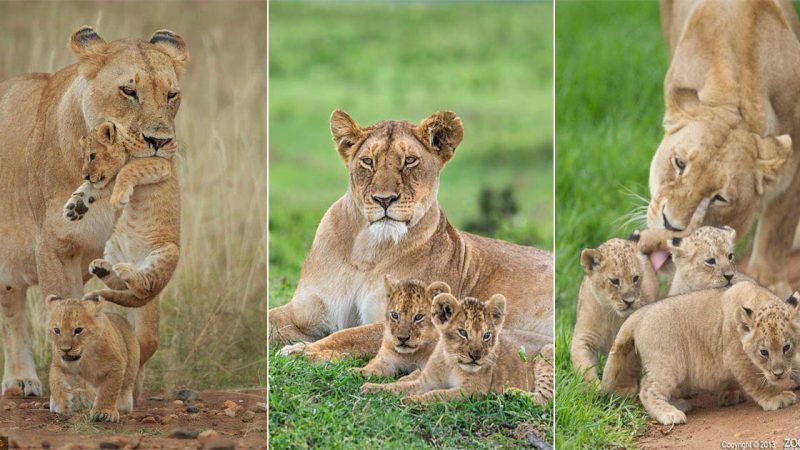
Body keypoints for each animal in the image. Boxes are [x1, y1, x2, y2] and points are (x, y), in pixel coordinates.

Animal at [0, 26, 188, 396]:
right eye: (129, 90)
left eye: (172, 94)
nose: (160, 141)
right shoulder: (55, 251)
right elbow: (67, 313)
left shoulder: (144, 249)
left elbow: (147, 335)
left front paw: (131, 380)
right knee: (12, 316)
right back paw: (21, 378)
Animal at [268, 110, 552, 362]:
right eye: (368, 161)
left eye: (410, 161)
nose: (384, 199)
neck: (367, 250)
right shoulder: (307, 310)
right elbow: (270, 318)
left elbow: (348, 336)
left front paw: (302, 352)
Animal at [648, 0, 800, 298]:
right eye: (679, 163)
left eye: (719, 198)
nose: (671, 226)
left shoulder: (795, 163)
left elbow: (778, 230)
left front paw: (770, 282)